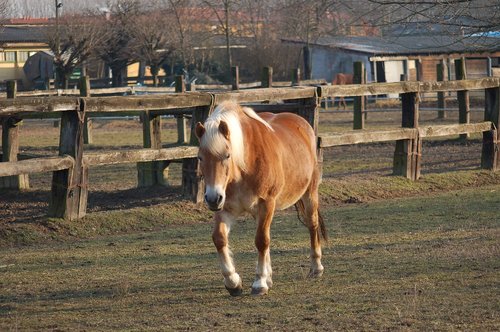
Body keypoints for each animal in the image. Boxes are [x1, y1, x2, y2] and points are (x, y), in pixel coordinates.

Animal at [195, 100, 328, 296]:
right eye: (200, 158)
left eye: (227, 155)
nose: (212, 198)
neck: (245, 164)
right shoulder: (225, 208)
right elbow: (219, 238)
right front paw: (233, 282)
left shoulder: (266, 204)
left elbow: (261, 240)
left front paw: (259, 282)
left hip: (309, 194)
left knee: (312, 225)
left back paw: (316, 267)